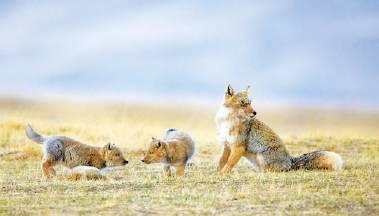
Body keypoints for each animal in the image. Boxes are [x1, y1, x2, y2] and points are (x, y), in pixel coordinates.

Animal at [214, 84, 344, 174]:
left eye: (250, 103)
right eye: (242, 103)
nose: (255, 113)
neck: (228, 122)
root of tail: (290, 161)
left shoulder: (239, 146)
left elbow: (229, 163)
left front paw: (222, 174)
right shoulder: (227, 145)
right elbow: (221, 162)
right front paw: (217, 173)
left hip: (261, 157)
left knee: (270, 171)